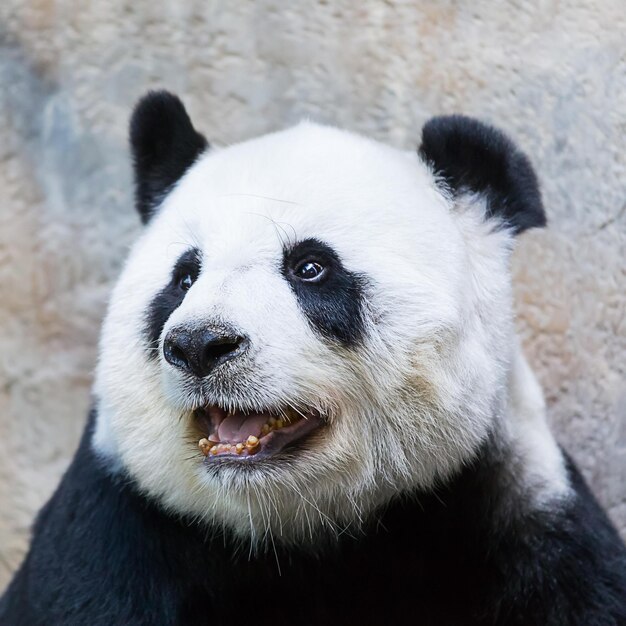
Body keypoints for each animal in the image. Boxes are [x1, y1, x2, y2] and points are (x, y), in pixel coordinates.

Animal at [1, 89, 624, 624]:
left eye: (310, 267)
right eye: (183, 278)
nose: (200, 344)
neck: (301, 532)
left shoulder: (517, 509)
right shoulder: (118, 528)